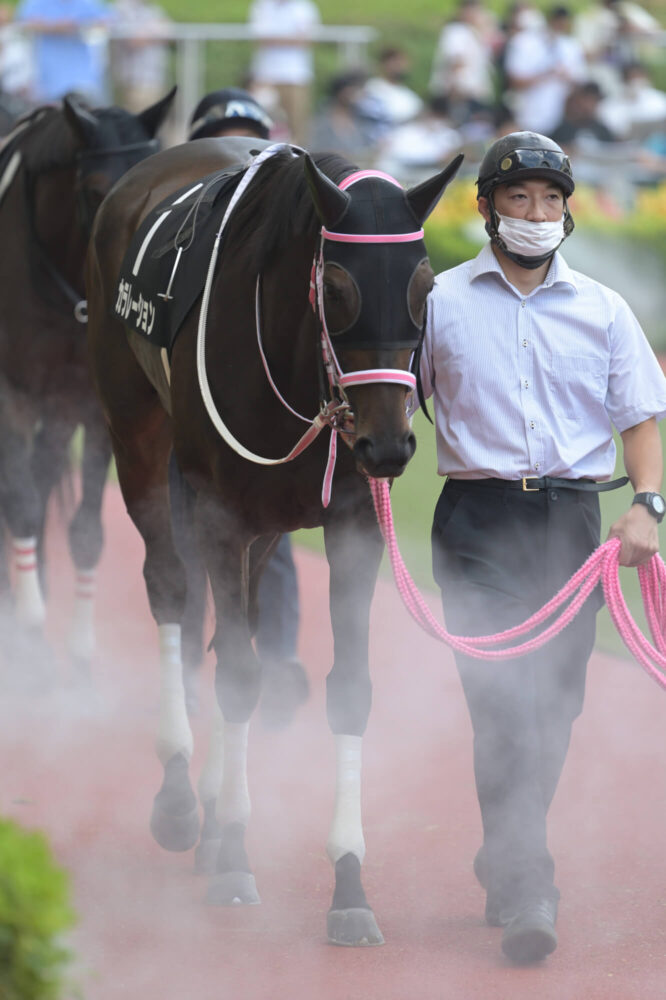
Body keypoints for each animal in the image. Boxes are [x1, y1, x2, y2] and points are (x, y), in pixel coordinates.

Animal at [0, 88, 174, 680]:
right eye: (97, 191)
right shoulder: (14, 393)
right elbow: (21, 501)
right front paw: (29, 629)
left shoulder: (96, 406)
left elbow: (85, 529)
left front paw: (77, 649)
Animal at [84, 139, 462, 944]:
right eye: (341, 289)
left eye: (425, 287)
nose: (388, 447)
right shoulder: (221, 513)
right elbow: (236, 676)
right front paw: (233, 855)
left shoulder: (352, 523)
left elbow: (344, 687)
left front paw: (348, 880)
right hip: (138, 434)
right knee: (171, 587)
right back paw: (182, 797)